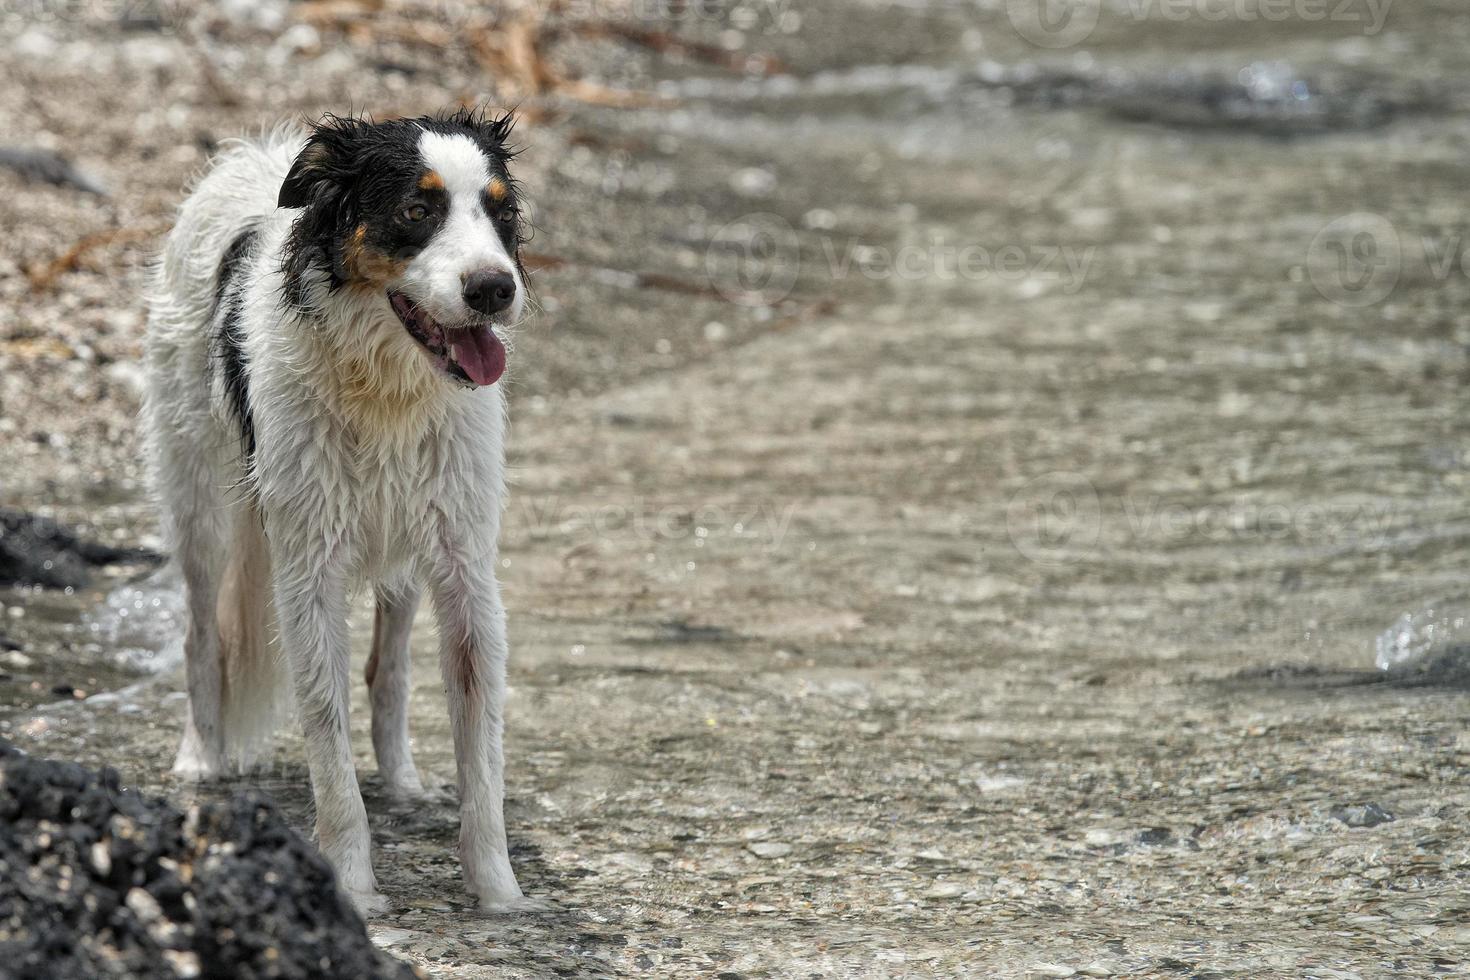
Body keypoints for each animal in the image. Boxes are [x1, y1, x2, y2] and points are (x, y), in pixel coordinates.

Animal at [143, 110, 532, 916]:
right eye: (417, 210)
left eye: (500, 212)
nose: (494, 288)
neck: (385, 387)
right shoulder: (307, 574)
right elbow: (327, 737)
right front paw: (352, 885)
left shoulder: (466, 568)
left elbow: (479, 744)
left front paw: (499, 892)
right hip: (199, 504)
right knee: (202, 633)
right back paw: (201, 756)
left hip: (408, 551)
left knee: (390, 671)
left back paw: (404, 780)